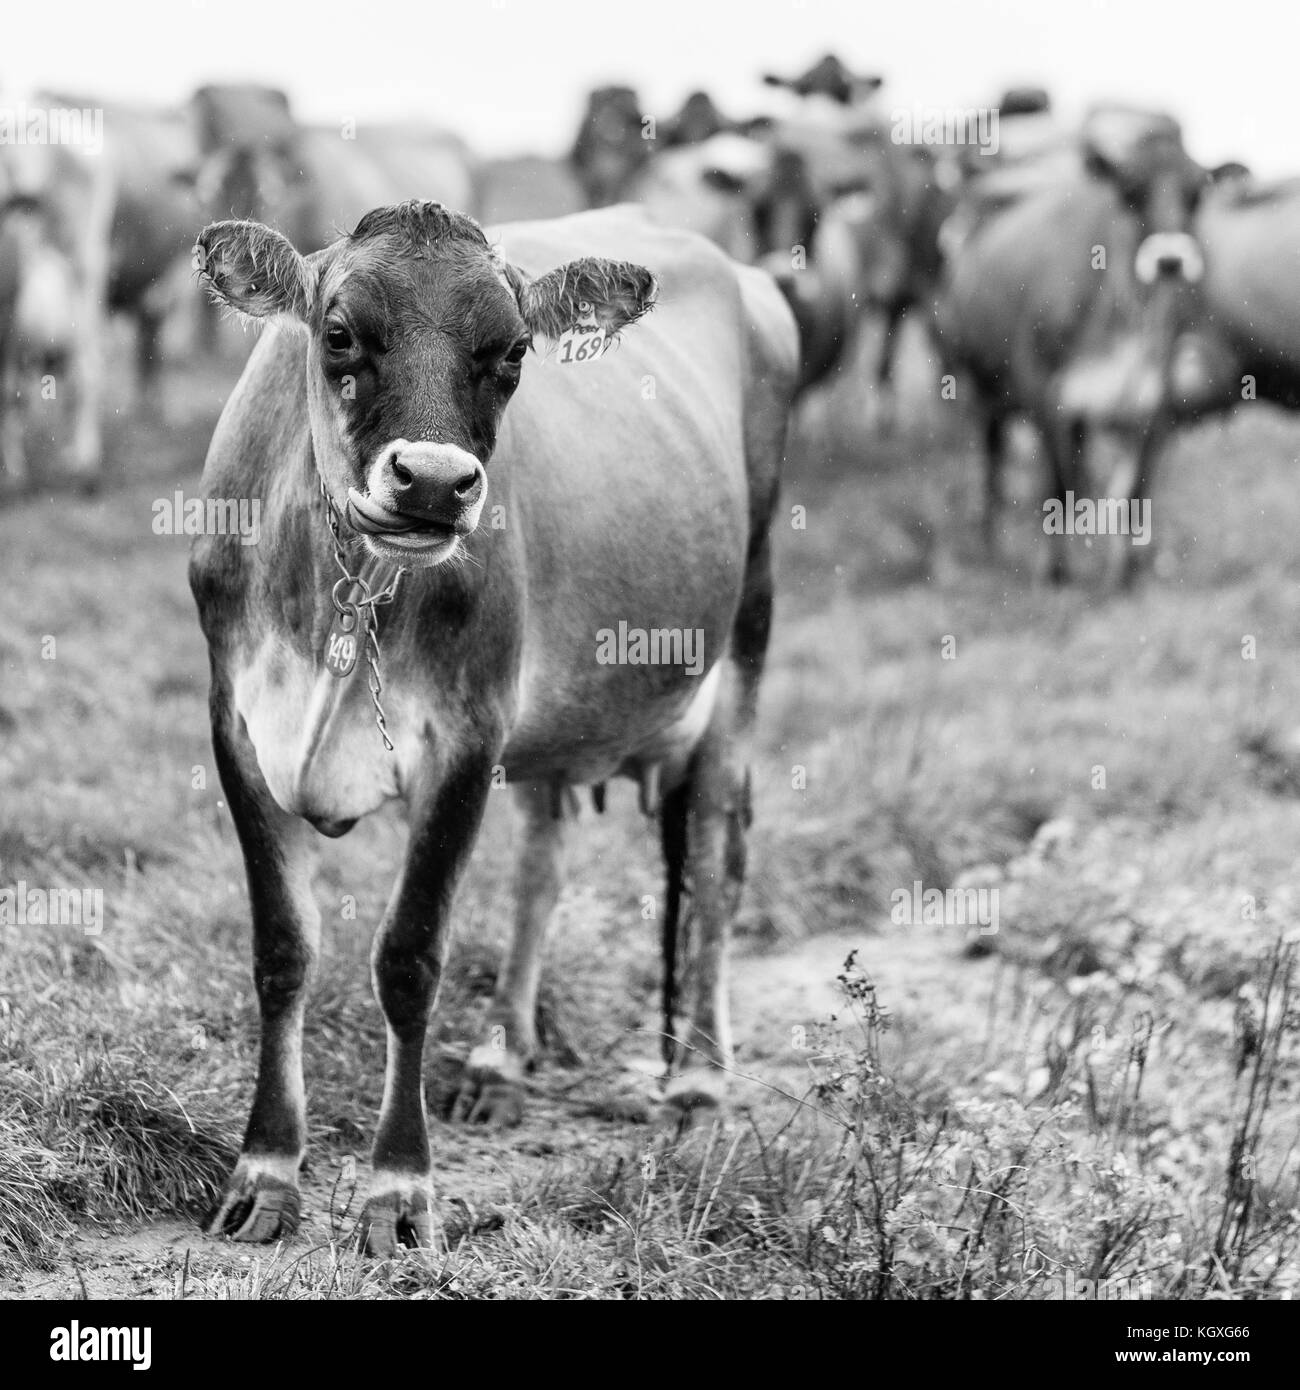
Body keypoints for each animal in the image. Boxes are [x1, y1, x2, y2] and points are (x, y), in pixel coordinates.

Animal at [189, 200, 798, 1253]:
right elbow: (281, 952)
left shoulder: (467, 740)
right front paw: (264, 1170)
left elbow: (410, 956)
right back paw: (501, 1060)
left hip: (744, 642)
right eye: (339, 332)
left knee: (717, 859)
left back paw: (696, 1078)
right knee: (541, 872)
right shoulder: (239, 727)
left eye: (513, 351)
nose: (434, 482)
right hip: (551, 729)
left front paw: (399, 1190)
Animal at [934, 107, 1207, 585]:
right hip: (981, 383)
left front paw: (1124, 573)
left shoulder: (1155, 400)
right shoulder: (1042, 388)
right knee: (993, 457)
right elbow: (1057, 483)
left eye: (1196, 194)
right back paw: (991, 540)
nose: (1169, 259)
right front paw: (1055, 571)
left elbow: (1134, 490)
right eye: (1132, 190)